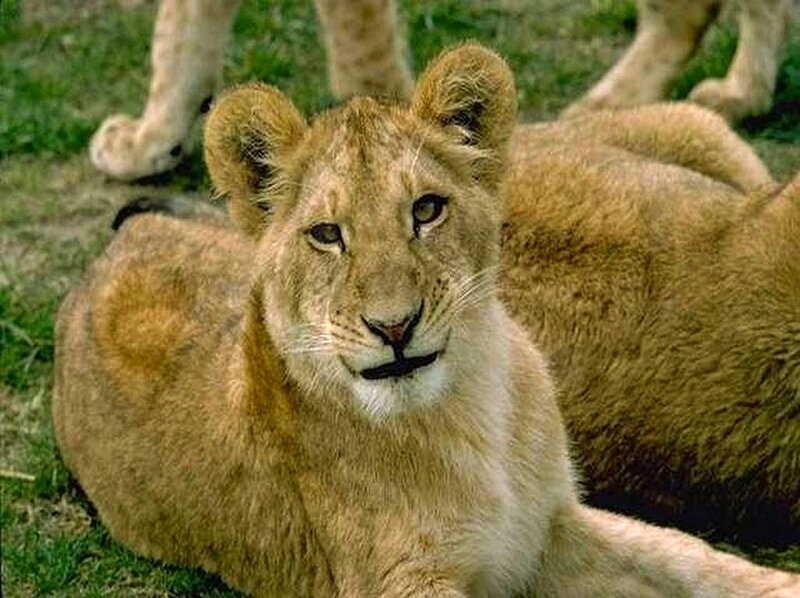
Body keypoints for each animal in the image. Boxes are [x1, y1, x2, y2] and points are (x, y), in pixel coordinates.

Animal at [55, 44, 799, 596]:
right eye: (327, 235)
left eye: (427, 209)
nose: (394, 327)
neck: (469, 415)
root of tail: (113, 247)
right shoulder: (398, 582)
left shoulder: (551, 526)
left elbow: (695, 558)